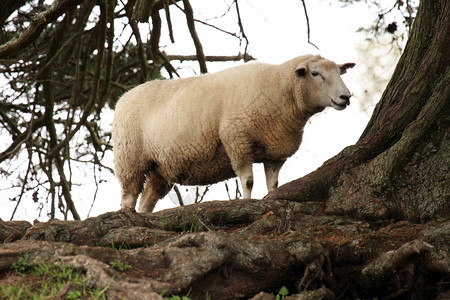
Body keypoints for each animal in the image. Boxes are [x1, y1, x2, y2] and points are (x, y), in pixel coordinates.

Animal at [112, 54, 356, 213]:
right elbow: (247, 181)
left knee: (147, 198)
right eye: (315, 73)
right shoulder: (237, 139)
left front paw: (270, 200)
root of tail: (124, 97)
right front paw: (247, 203)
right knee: (129, 195)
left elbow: (273, 185)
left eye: (339, 72)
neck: (277, 87)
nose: (346, 97)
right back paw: (128, 215)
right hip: (130, 158)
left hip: (160, 167)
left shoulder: (274, 153)